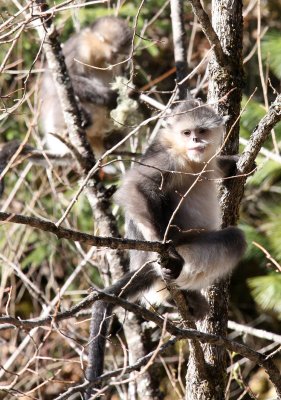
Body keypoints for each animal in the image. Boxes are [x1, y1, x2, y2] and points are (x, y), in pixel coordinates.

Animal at [39, 16, 132, 156]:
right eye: (115, 53)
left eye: (120, 54)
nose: (115, 59)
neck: (97, 57)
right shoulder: (79, 47)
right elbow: (58, 78)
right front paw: (109, 97)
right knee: (58, 96)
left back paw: (112, 140)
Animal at [84, 100, 246, 396]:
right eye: (187, 133)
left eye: (201, 131)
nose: (196, 141)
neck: (190, 158)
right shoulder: (168, 160)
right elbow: (135, 187)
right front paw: (163, 248)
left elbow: (220, 165)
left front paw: (235, 162)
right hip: (189, 249)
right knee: (234, 239)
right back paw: (171, 277)